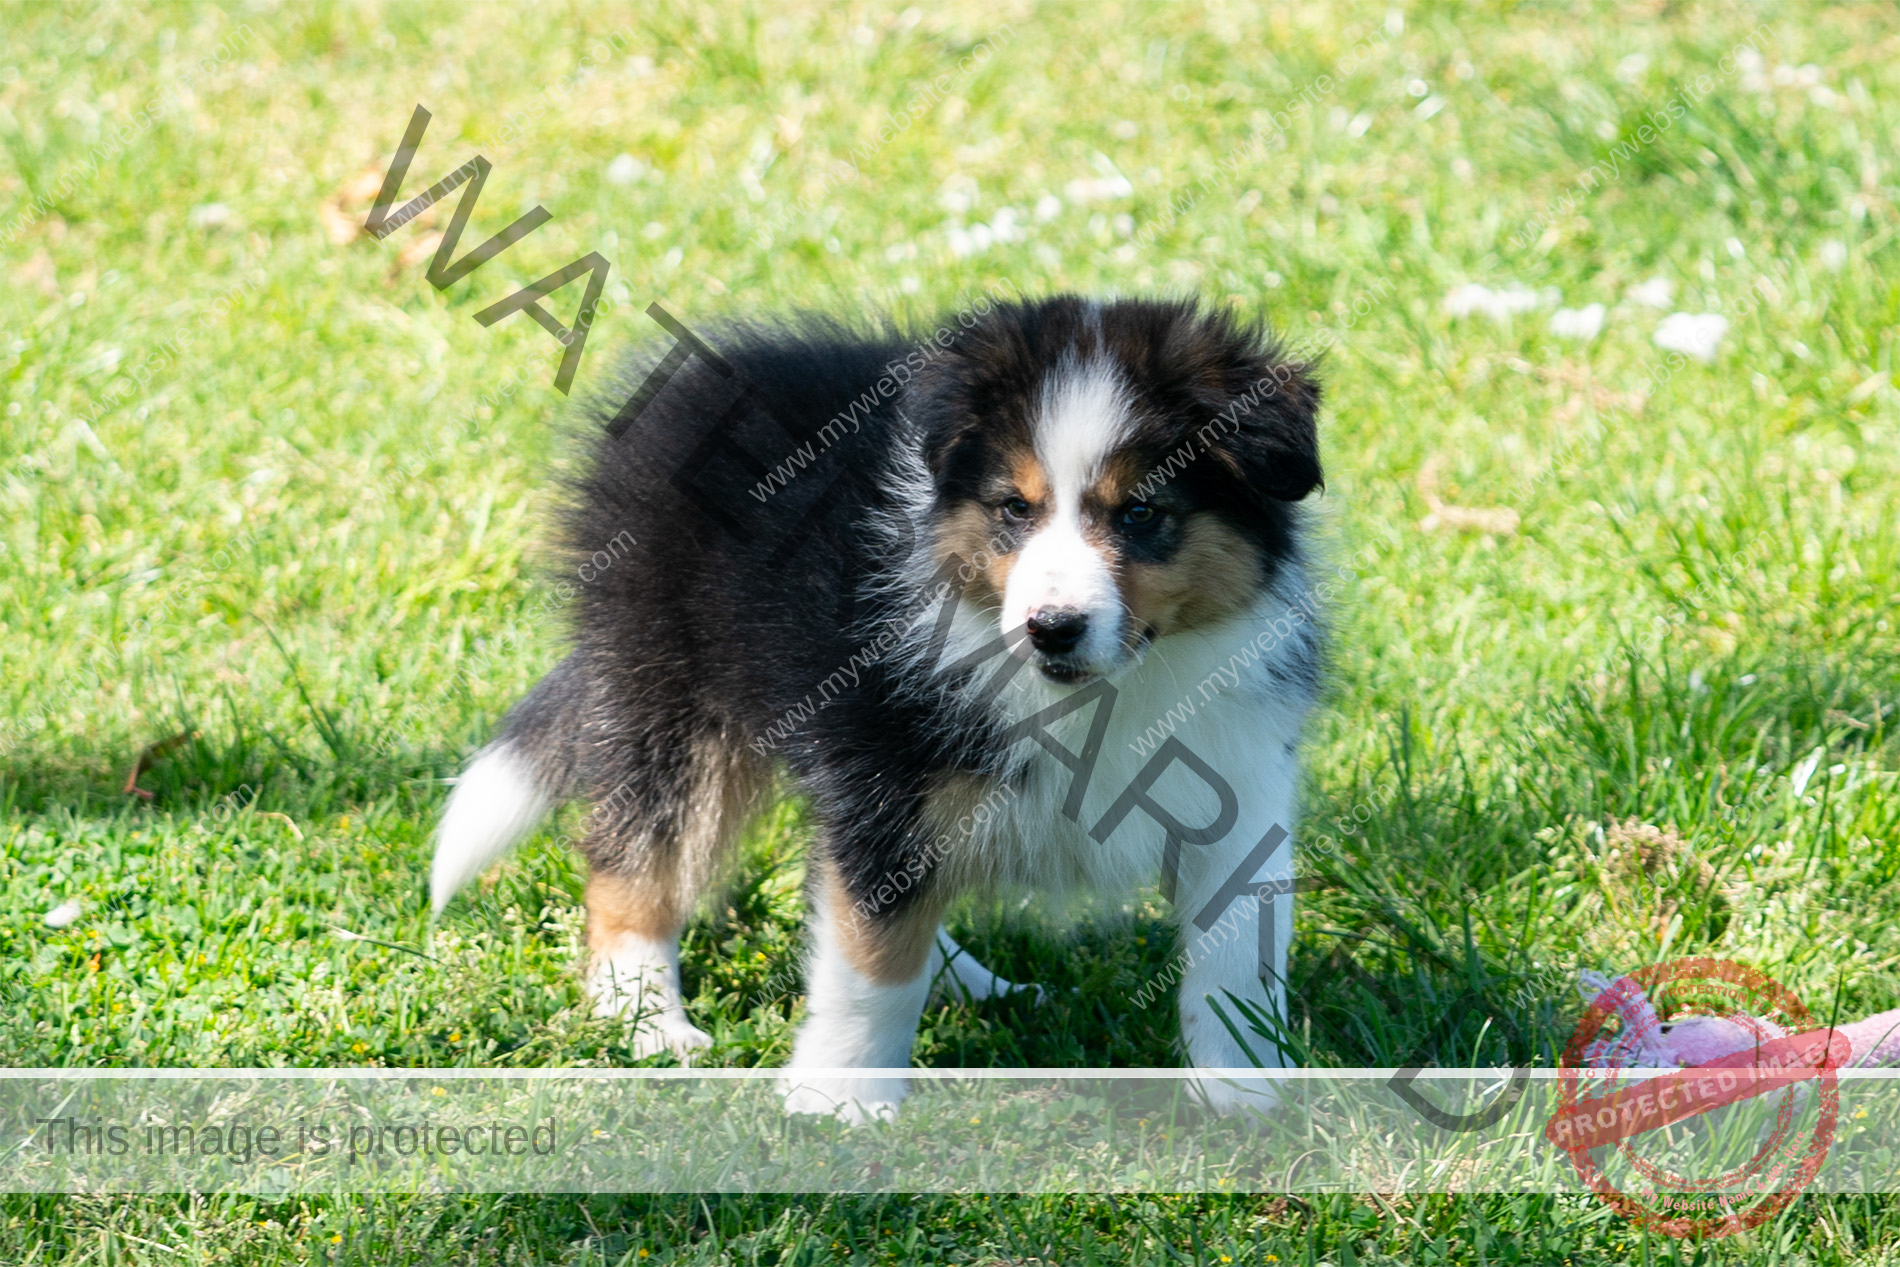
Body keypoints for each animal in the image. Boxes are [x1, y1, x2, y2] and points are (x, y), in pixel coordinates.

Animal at [429, 294, 1322, 1116]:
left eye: (1141, 512)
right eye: (1014, 508)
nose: (1051, 628)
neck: (1099, 694)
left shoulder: (1237, 783)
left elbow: (1237, 959)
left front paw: (1244, 1095)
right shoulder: (881, 773)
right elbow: (874, 963)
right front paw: (843, 1102)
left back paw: (968, 979)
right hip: (666, 679)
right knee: (636, 850)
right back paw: (647, 1019)